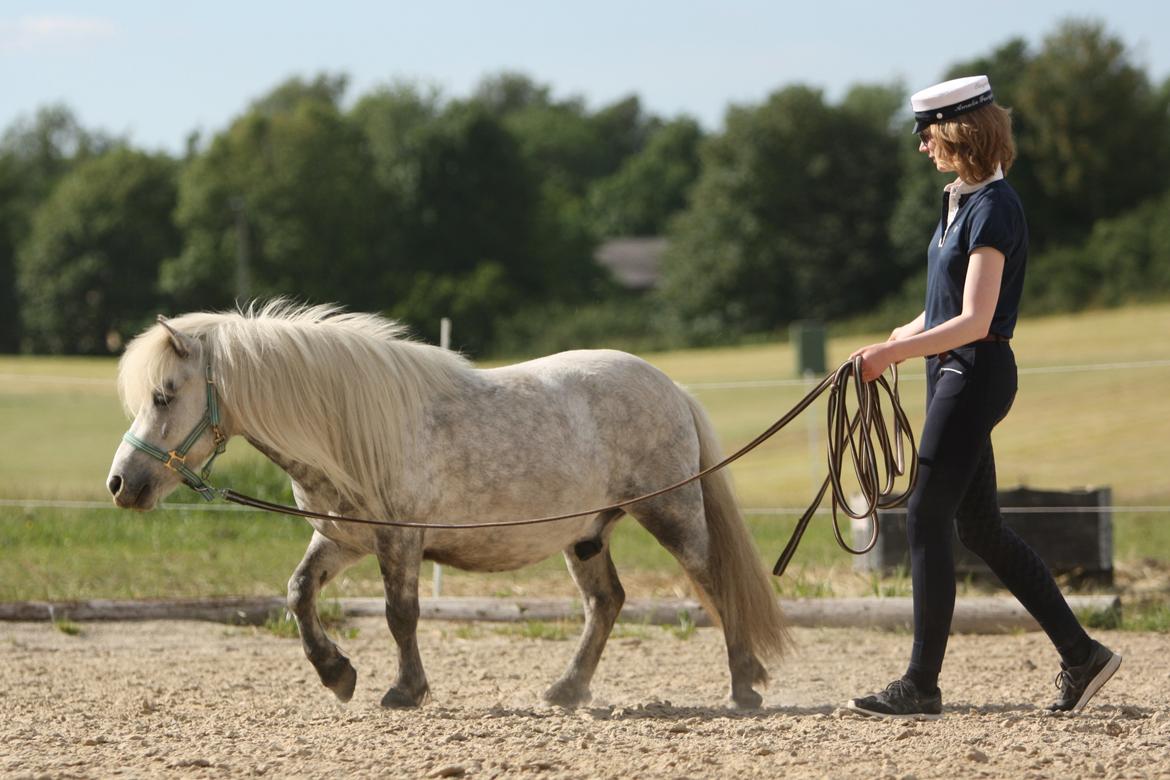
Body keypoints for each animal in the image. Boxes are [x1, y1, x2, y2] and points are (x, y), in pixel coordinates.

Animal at [109, 301, 790, 711]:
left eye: (165, 395)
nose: (119, 483)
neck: (350, 430)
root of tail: (672, 387)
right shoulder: (343, 538)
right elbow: (299, 593)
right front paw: (337, 674)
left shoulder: (398, 538)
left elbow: (401, 615)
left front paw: (405, 691)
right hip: (584, 535)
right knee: (606, 603)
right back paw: (566, 690)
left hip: (672, 513)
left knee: (715, 583)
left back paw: (743, 687)